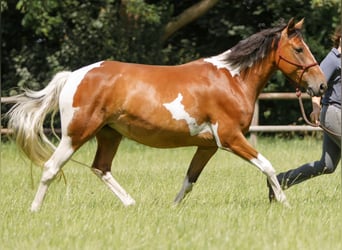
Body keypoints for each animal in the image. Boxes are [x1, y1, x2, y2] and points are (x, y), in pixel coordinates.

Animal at [6, 18, 326, 212]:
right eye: (298, 49)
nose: (321, 85)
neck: (232, 79)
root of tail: (73, 76)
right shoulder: (230, 138)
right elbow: (268, 166)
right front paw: (284, 203)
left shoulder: (207, 146)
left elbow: (189, 180)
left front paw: (173, 209)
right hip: (77, 133)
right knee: (51, 167)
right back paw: (34, 210)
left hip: (109, 134)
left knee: (101, 168)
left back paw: (132, 204)